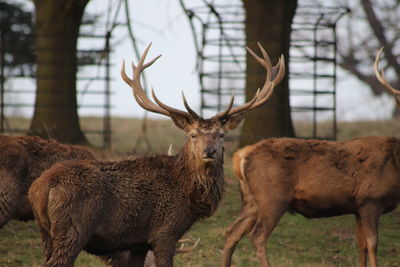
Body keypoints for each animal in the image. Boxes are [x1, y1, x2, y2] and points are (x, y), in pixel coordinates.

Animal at [28, 44, 284, 267]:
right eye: (193, 134)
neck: (188, 194)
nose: (209, 151)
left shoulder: (138, 242)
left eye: (221, 135)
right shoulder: (164, 231)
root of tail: (42, 187)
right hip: (73, 228)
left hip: (45, 230)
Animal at [222, 47, 400, 266]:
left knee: (231, 232)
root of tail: (241, 156)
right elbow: (373, 243)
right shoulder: (371, 199)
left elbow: (361, 245)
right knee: (257, 236)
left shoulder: (358, 206)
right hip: (272, 197)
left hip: (251, 200)